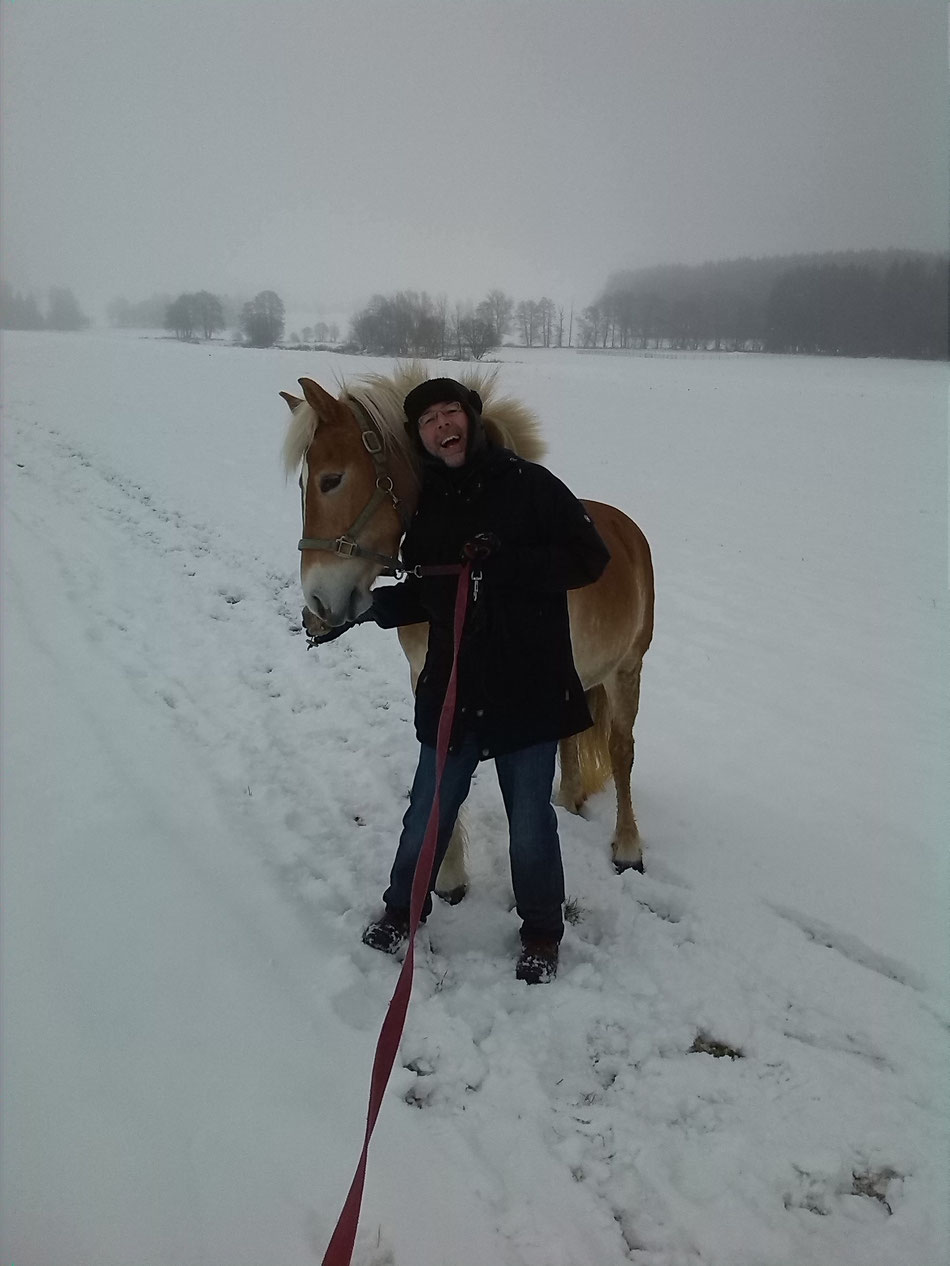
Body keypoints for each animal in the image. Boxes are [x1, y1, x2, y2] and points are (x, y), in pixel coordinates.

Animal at [282, 364, 653, 901]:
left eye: (332, 480)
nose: (316, 605)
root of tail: (626, 530)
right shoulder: (429, 676)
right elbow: (439, 763)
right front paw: (447, 876)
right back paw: (569, 799)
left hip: (628, 669)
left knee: (622, 752)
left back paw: (627, 847)